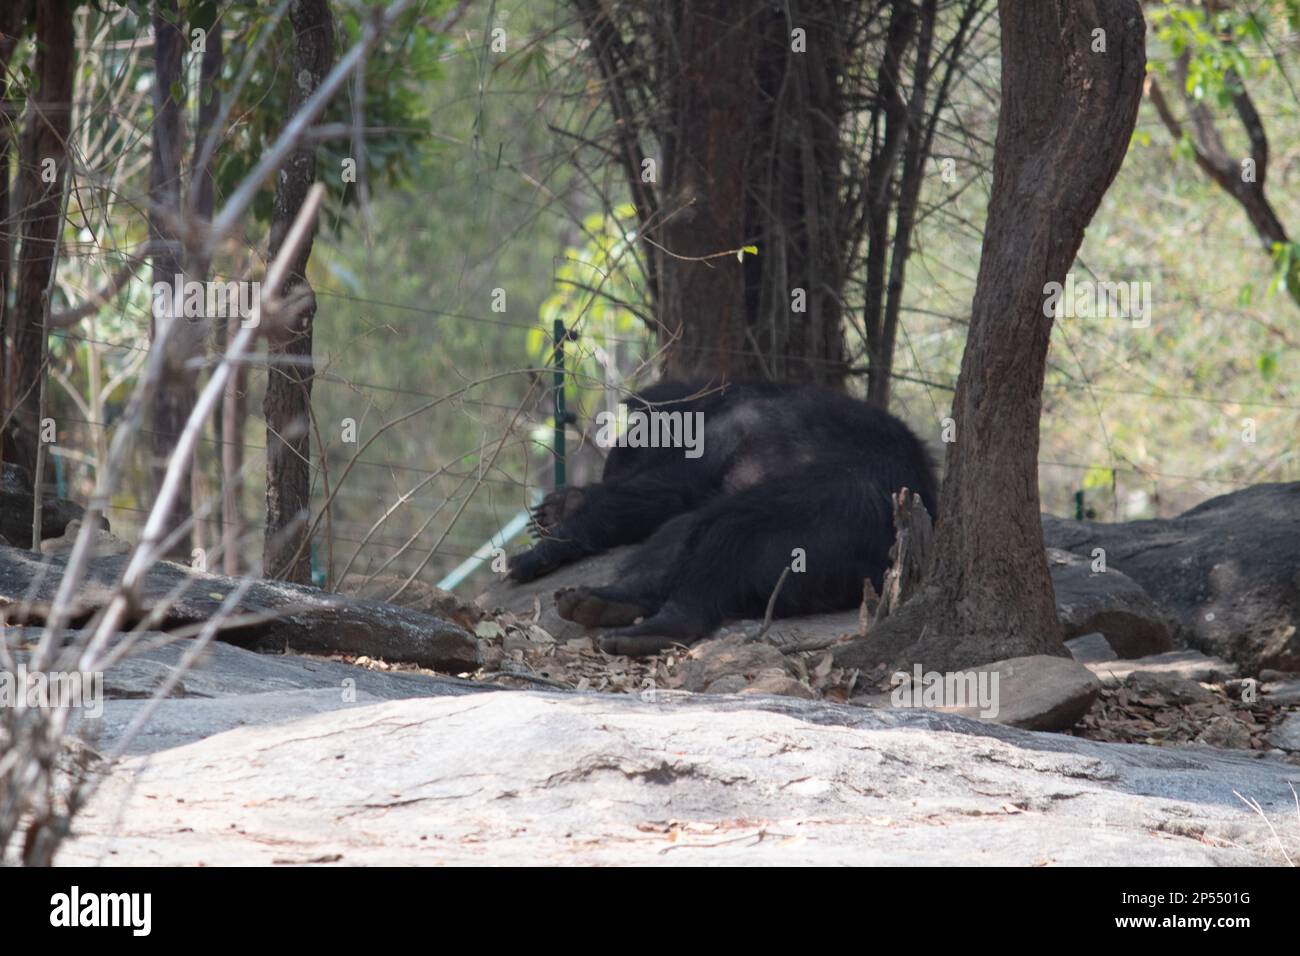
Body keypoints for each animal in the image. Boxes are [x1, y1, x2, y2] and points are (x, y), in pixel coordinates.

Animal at [506, 382, 935, 658]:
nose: (615, 454)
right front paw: (561, 505)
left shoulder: (728, 431)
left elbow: (659, 491)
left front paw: (541, 548)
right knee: (680, 534)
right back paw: (605, 602)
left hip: (827, 522)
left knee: (728, 530)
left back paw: (654, 628)